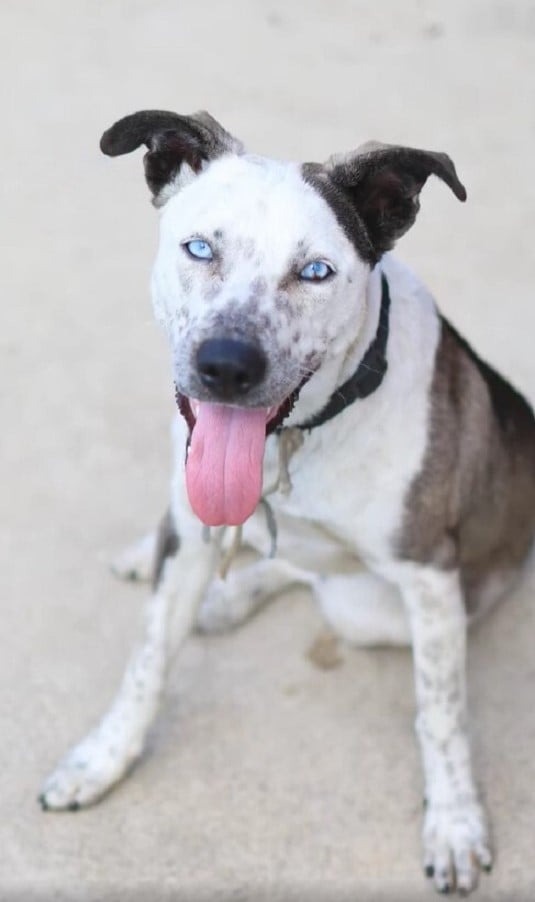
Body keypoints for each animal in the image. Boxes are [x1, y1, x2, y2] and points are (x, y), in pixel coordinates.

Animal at [40, 111, 535, 896]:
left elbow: (441, 715)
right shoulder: (191, 530)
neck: (296, 442)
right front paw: (101, 758)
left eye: (315, 272)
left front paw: (455, 822)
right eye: (200, 247)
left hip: (377, 611)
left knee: (312, 576)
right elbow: (146, 661)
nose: (225, 366)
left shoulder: (428, 576)